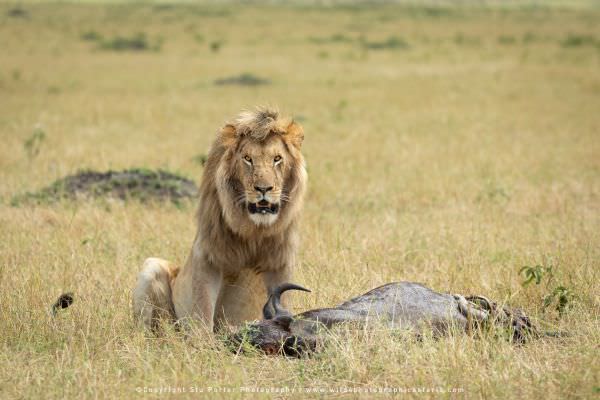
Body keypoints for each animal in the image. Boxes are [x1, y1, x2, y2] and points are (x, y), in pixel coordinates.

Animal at [133, 106, 308, 332]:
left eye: (277, 158)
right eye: (247, 158)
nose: (263, 189)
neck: (253, 231)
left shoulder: (281, 263)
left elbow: (283, 299)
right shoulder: (208, 259)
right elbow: (203, 310)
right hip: (151, 268)